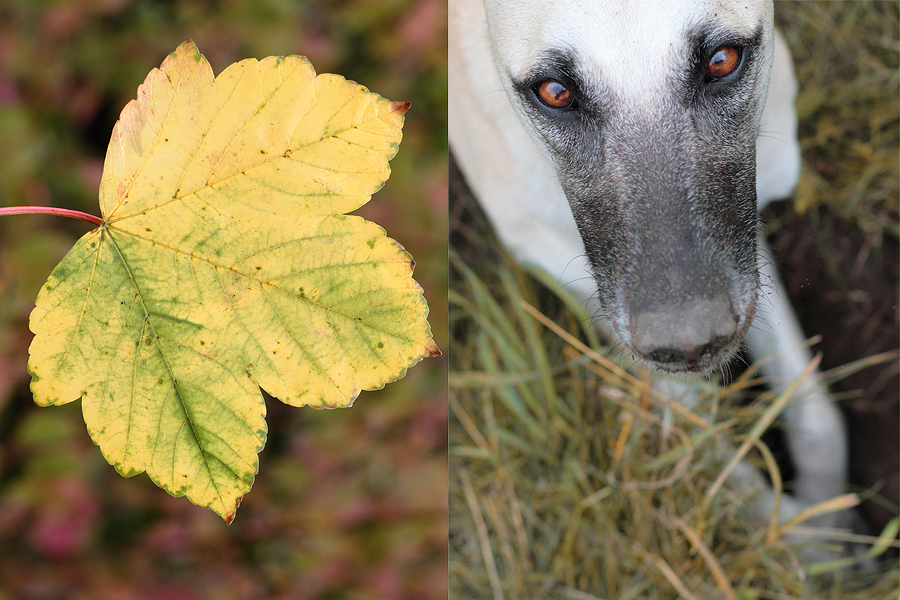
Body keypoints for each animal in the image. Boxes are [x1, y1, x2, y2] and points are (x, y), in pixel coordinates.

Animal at [450, 0, 856, 560]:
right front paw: (795, 541)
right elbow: (705, 451)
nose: (688, 345)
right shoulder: (549, 256)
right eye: (555, 92)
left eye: (723, 60)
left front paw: (827, 524)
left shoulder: (744, 252)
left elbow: (816, 417)